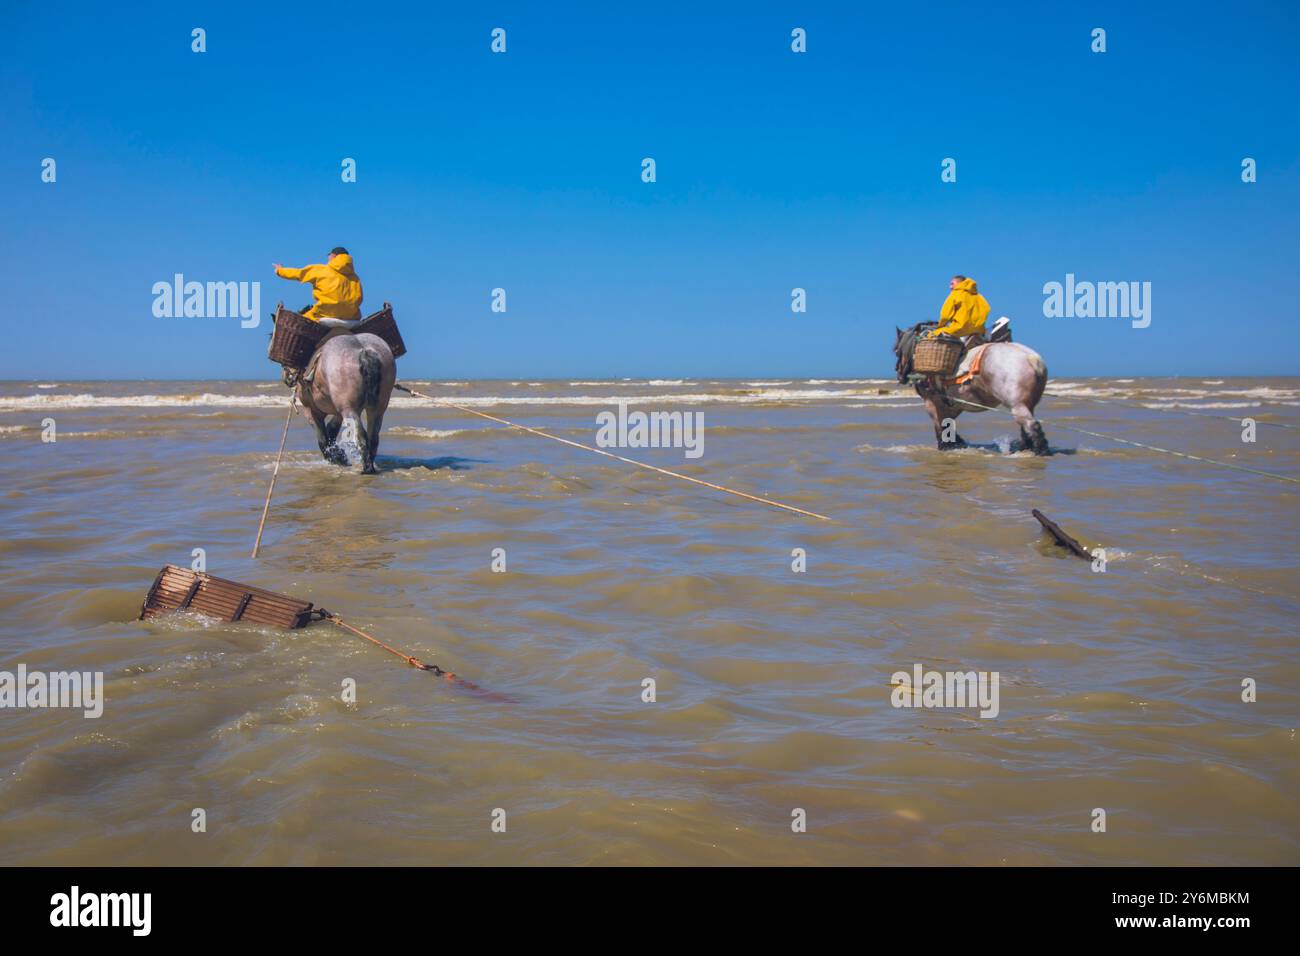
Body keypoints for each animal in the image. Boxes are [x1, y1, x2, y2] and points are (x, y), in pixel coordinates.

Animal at [295, 332, 396, 474]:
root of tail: (364, 350)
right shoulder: (339, 412)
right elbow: (331, 430)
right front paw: (338, 455)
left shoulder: (310, 410)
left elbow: (322, 439)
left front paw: (335, 457)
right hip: (377, 409)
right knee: (373, 438)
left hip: (349, 410)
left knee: (360, 437)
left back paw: (366, 468)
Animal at [893, 323, 1050, 454]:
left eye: (896, 351)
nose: (899, 374)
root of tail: (1032, 359)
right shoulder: (952, 405)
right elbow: (949, 426)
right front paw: (957, 444)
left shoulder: (932, 403)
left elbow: (940, 427)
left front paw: (946, 447)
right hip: (1028, 405)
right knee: (1026, 428)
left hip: (1017, 406)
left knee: (1032, 426)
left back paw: (1039, 451)